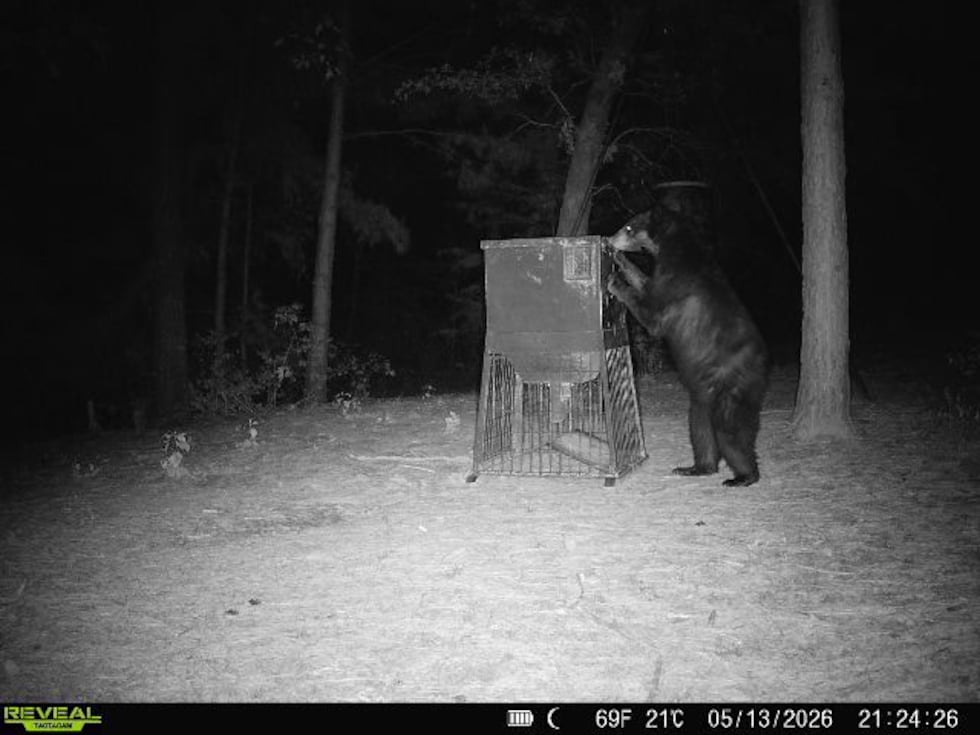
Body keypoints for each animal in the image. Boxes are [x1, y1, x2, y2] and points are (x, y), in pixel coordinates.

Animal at [605, 187, 770, 487]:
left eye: (629, 226)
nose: (610, 239)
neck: (675, 249)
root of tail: (763, 368)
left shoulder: (676, 287)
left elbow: (652, 314)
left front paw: (616, 281)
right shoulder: (660, 276)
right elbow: (645, 281)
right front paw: (623, 262)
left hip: (733, 389)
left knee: (731, 431)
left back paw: (743, 476)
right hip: (702, 396)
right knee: (700, 428)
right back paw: (696, 467)